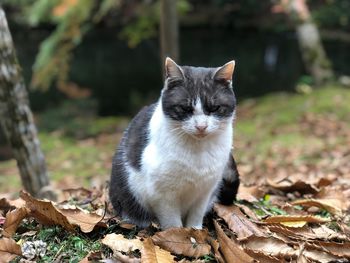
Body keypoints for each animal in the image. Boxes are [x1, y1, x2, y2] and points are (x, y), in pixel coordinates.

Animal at [109, 57, 241, 229]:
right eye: (185, 108)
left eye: (214, 108)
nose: (201, 126)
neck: (198, 151)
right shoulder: (162, 195)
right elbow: (172, 223)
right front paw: (179, 234)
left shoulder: (205, 191)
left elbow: (196, 215)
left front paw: (196, 231)